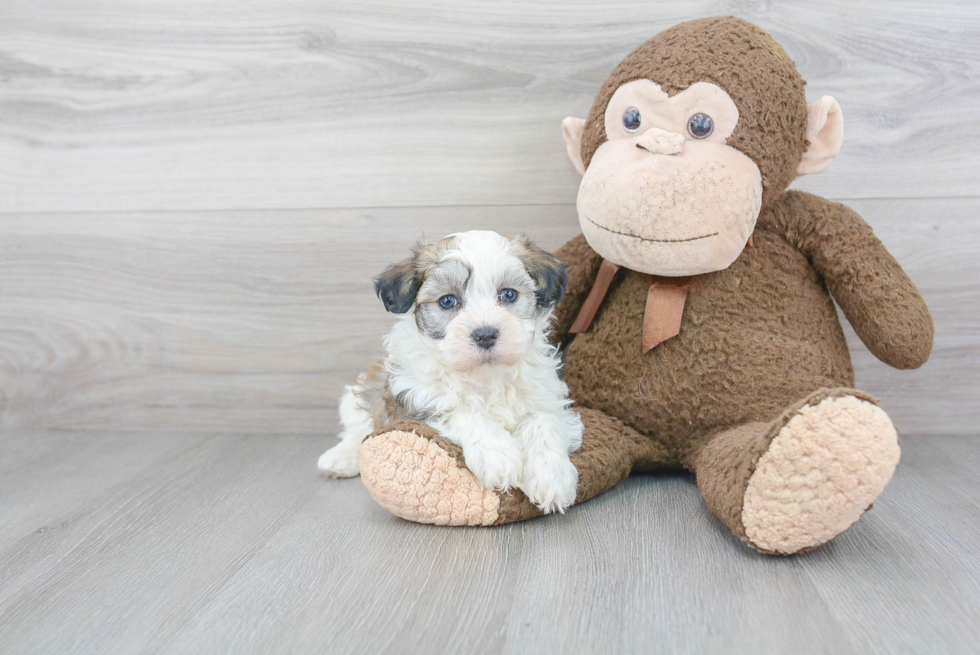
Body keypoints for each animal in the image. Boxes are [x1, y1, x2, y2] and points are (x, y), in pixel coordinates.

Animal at [320, 233, 580, 516]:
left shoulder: (548, 399)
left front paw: (551, 475)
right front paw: (497, 454)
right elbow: (459, 410)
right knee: (356, 430)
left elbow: (543, 421)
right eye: (447, 300)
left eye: (509, 294)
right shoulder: (413, 399)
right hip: (363, 392)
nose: (485, 334)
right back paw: (339, 459)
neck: (484, 376)